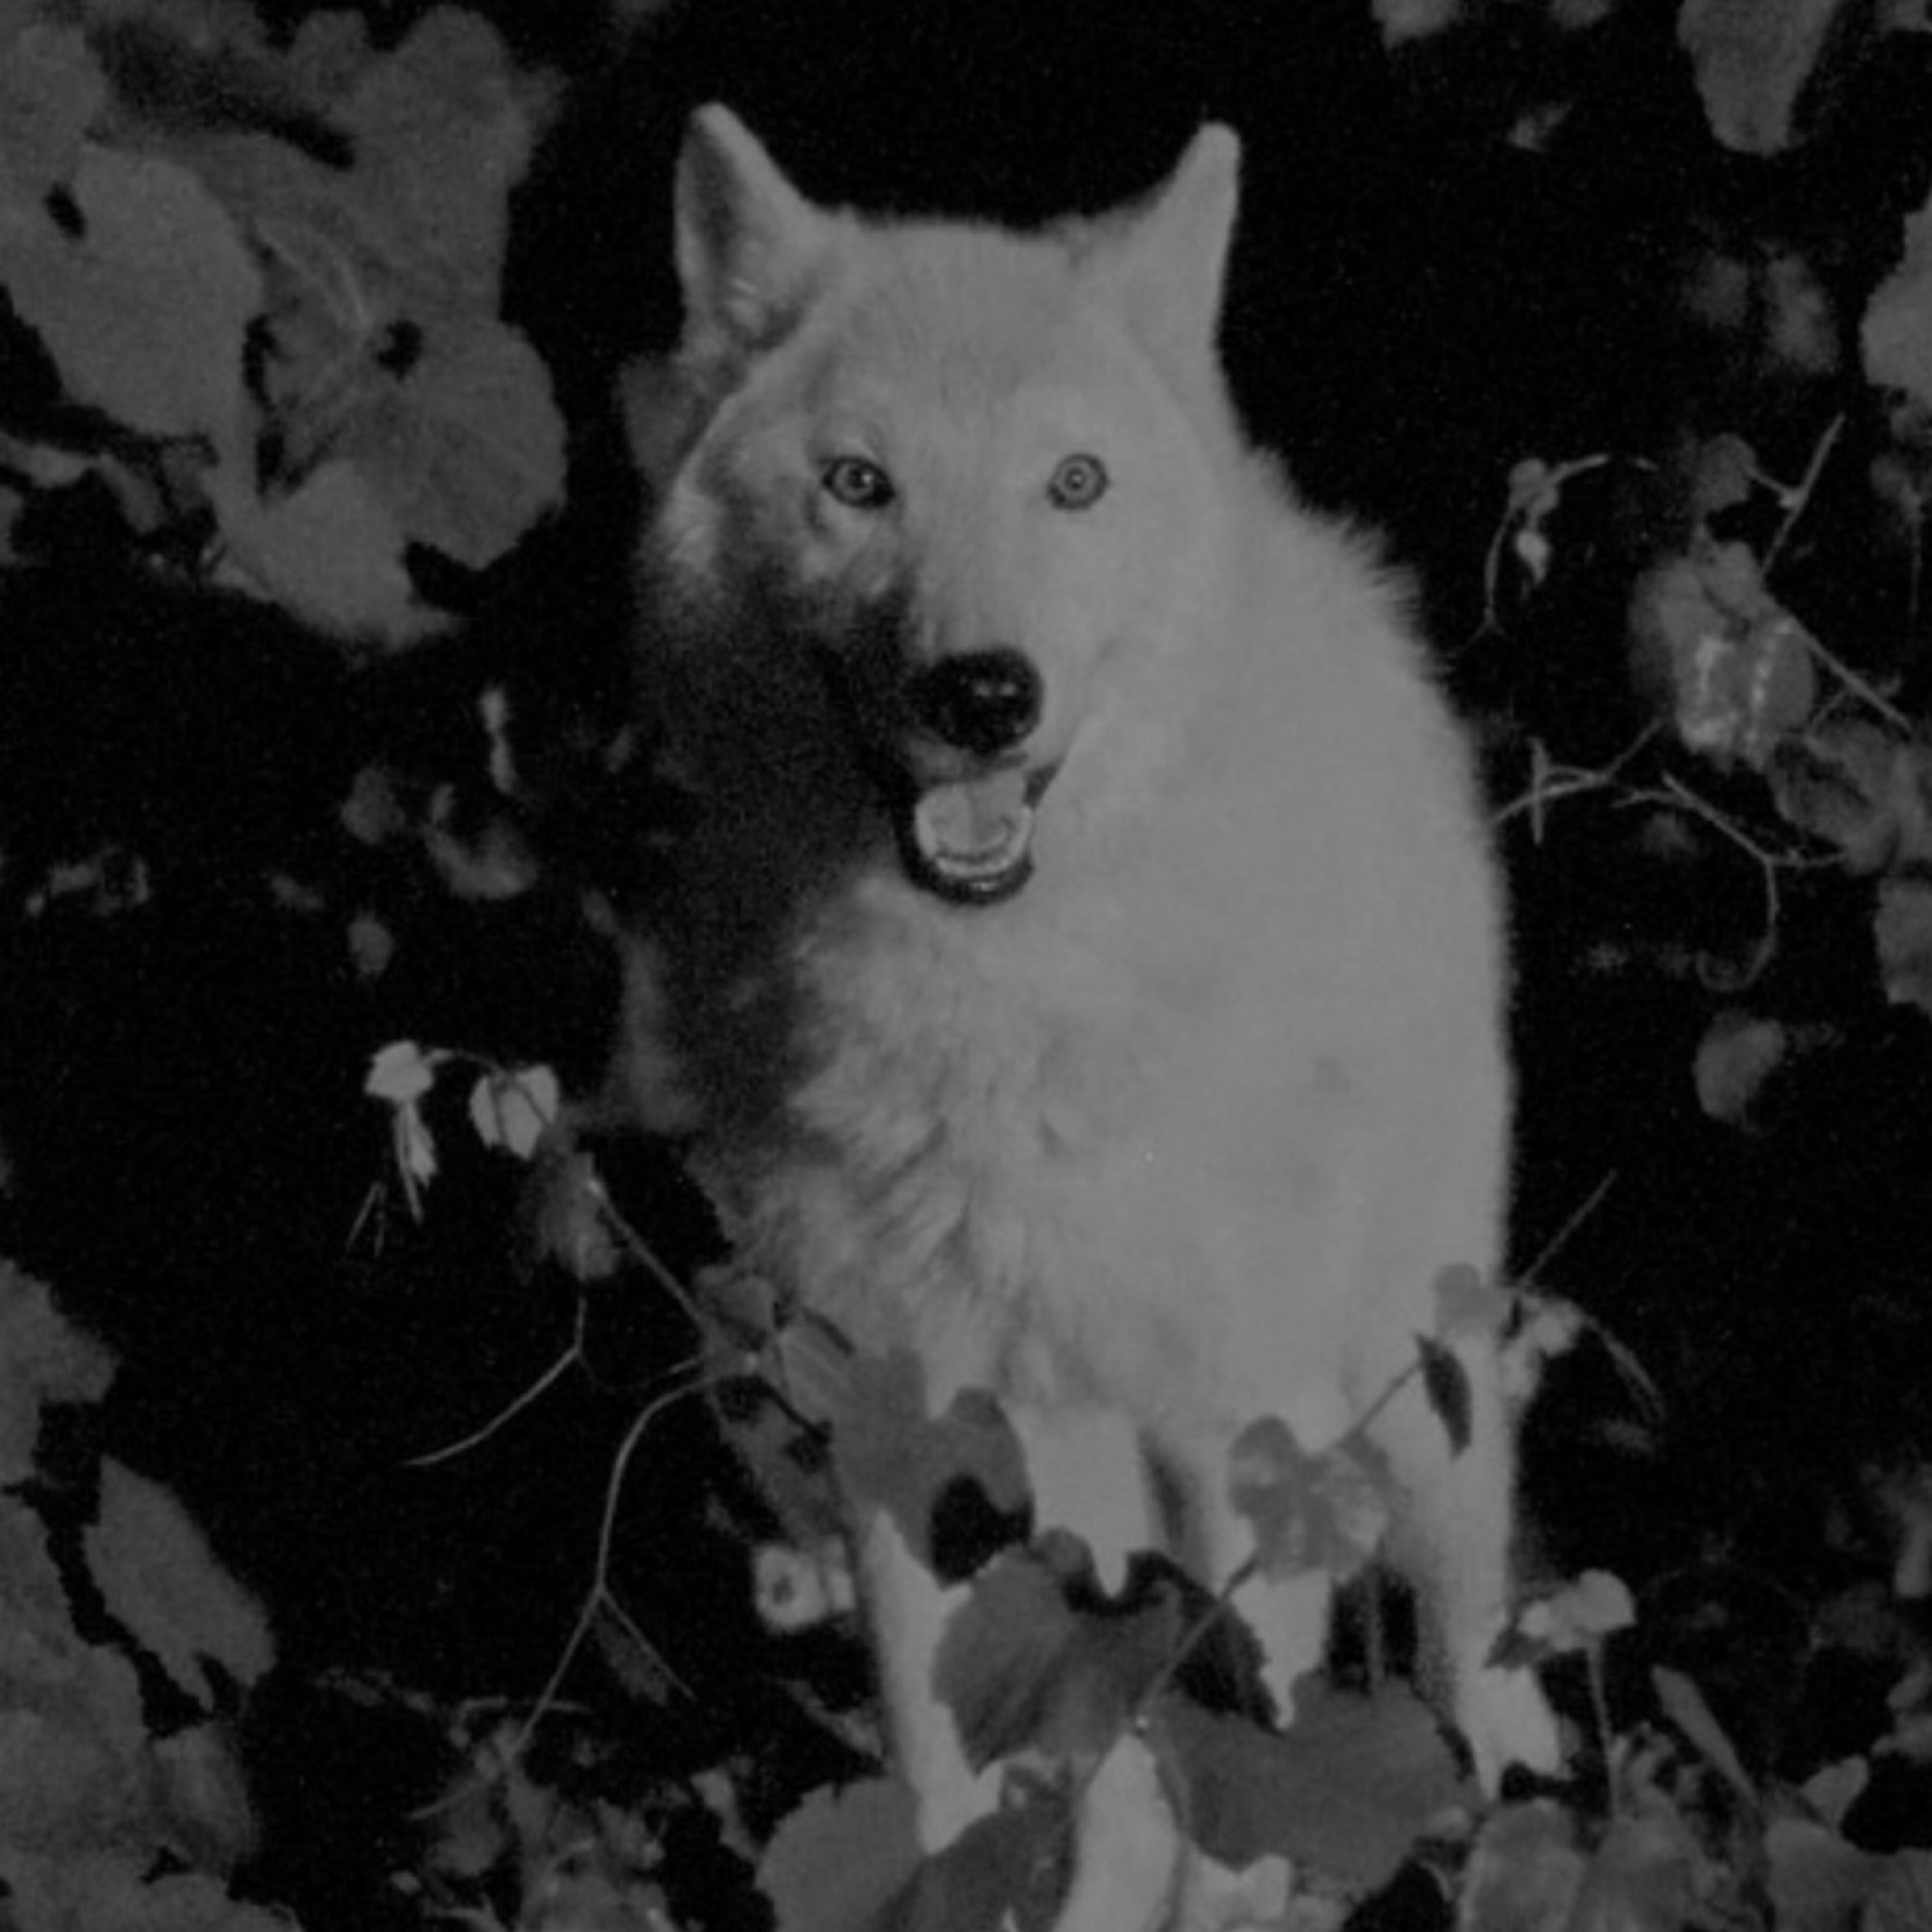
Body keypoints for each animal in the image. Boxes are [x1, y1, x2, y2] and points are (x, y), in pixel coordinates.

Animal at [614, 101, 1553, 1870]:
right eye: (859, 485)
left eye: (1073, 483)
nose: (983, 694)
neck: (1005, 1004)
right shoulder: (906, 1430)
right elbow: (948, 1782)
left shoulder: (1248, 1436)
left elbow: (1242, 1789)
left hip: (1409, 1371)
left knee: (1473, 1604)